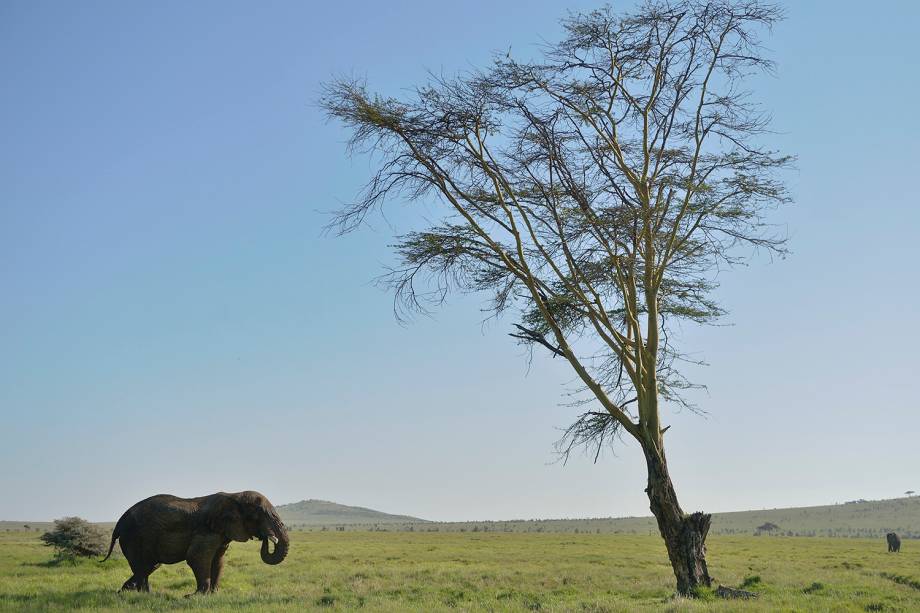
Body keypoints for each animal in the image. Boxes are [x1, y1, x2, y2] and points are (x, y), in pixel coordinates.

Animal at [100, 490, 288, 596]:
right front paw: (194, 596)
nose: (266, 537)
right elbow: (197, 557)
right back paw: (146, 595)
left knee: (149, 566)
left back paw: (124, 591)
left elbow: (218, 561)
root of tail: (119, 522)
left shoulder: (221, 533)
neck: (234, 495)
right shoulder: (206, 531)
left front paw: (214, 594)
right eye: (260, 514)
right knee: (143, 566)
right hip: (134, 537)